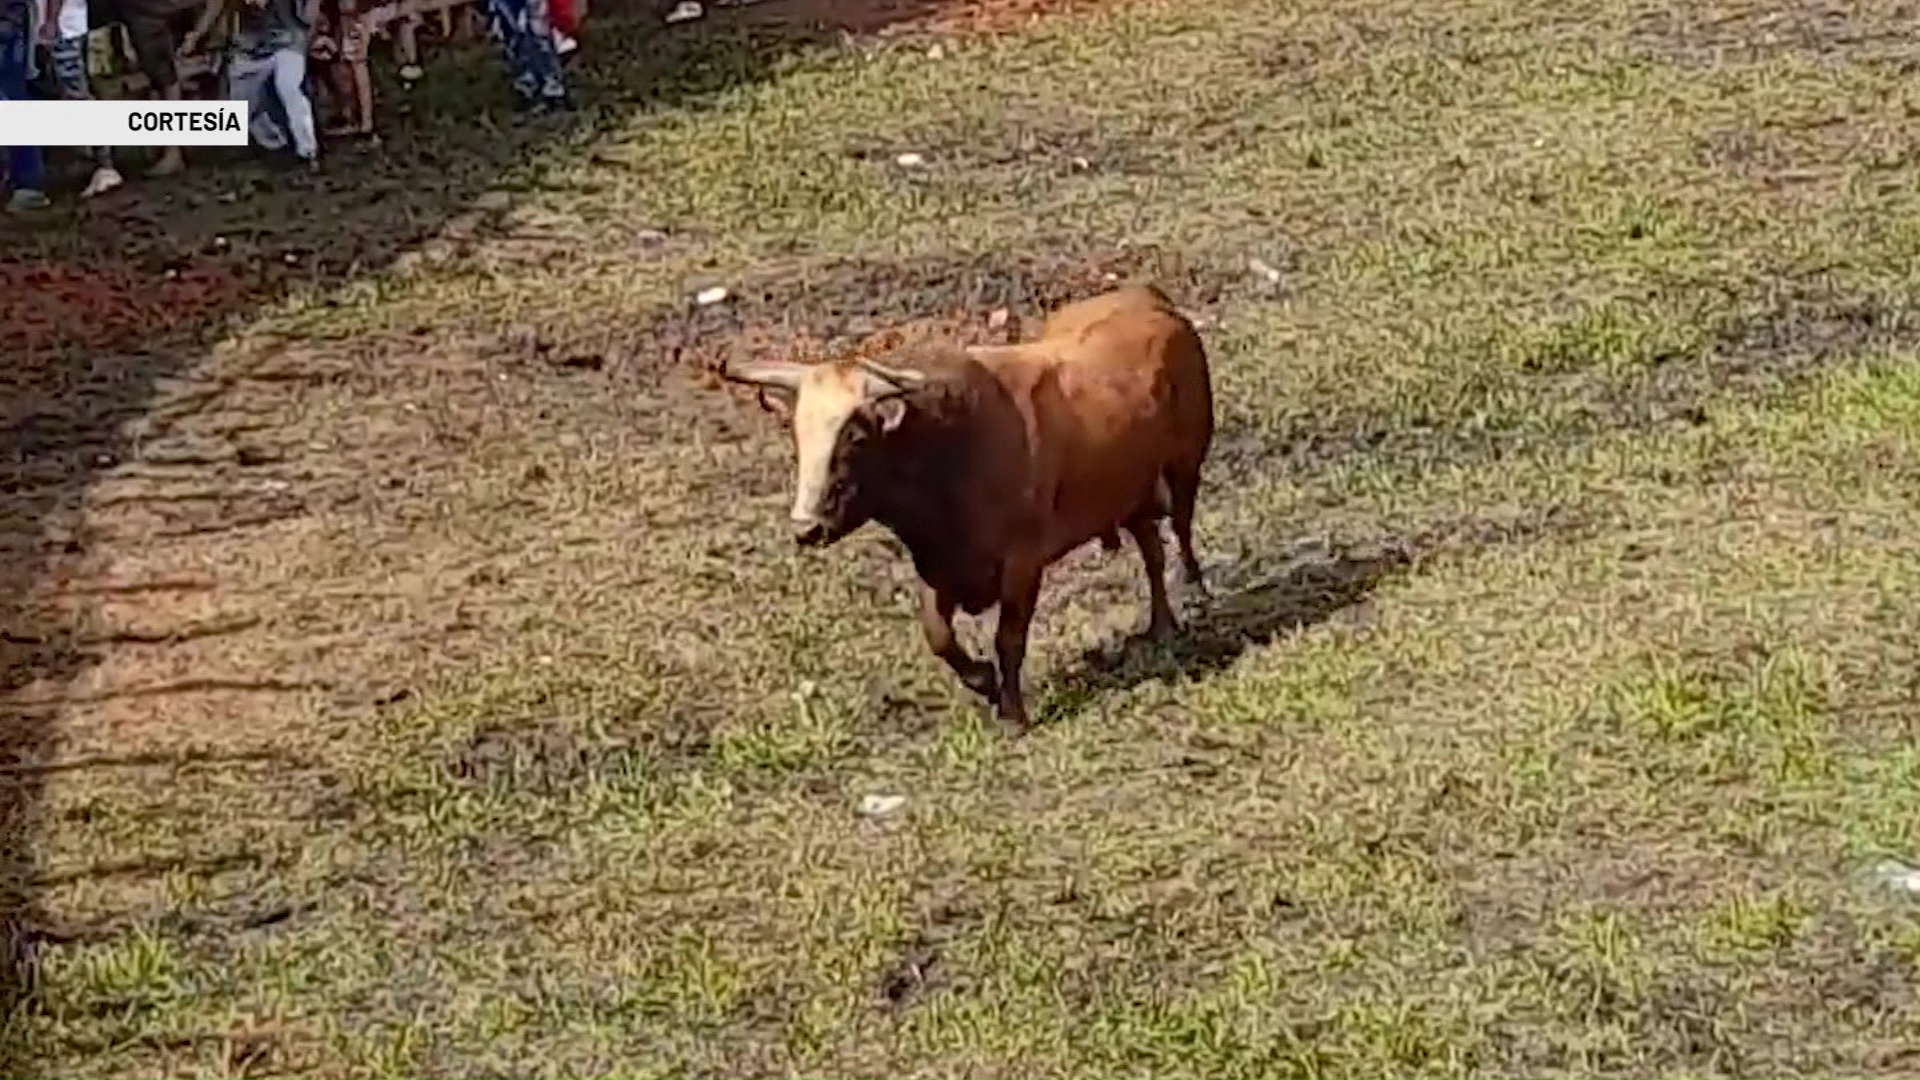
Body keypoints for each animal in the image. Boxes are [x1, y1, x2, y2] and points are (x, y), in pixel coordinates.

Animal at [721, 282, 1213, 726]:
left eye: (855, 437)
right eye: (798, 435)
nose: (807, 528)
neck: (949, 451)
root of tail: (1151, 301)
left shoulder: (1022, 564)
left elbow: (1008, 639)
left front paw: (1013, 713)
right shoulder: (937, 567)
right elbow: (939, 636)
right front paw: (985, 683)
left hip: (1185, 465)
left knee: (1181, 528)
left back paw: (1192, 590)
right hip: (1128, 495)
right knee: (1151, 547)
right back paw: (1161, 624)